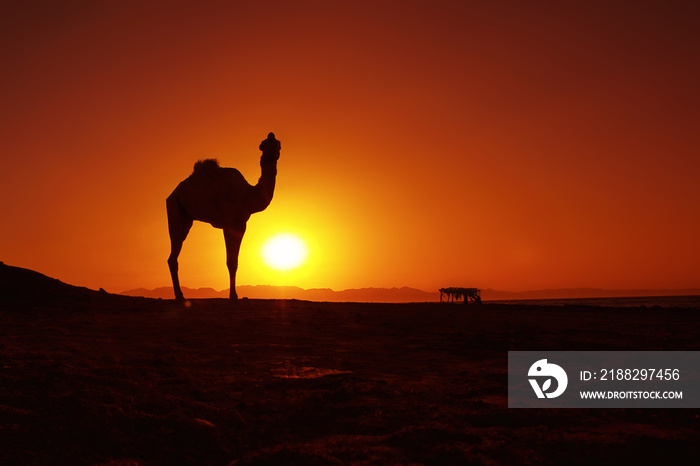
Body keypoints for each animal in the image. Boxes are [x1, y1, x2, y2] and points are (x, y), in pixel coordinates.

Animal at [167, 133, 282, 300]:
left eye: (278, 143)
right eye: (264, 143)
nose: (271, 135)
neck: (247, 195)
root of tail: (174, 192)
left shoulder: (241, 225)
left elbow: (235, 261)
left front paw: (234, 294)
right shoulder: (229, 224)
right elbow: (231, 261)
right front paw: (233, 295)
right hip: (175, 208)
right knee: (174, 251)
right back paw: (179, 295)